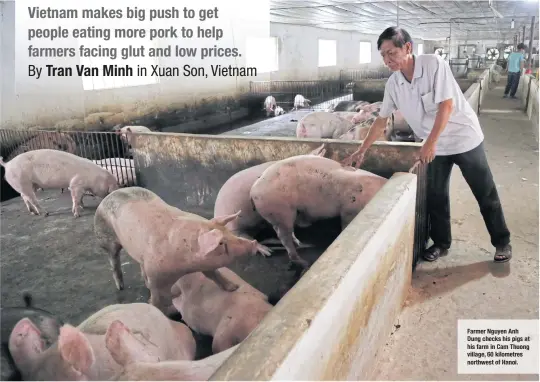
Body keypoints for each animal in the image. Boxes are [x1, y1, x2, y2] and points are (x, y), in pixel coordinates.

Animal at [93, 187, 262, 314]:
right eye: (222, 243)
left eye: (229, 233)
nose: (254, 242)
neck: (185, 266)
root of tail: (108, 196)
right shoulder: (157, 275)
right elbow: (157, 297)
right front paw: (160, 311)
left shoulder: (205, 263)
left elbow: (214, 275)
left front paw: (234, 288)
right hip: (105, 238)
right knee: (114, 260)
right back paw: (120, 286)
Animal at [249, 154, 388, 274]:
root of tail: (253, 191)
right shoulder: (349, 210)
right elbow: (345, 225)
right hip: (279, 210)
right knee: (284, 237)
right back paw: (304, 263)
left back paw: (299, 243)